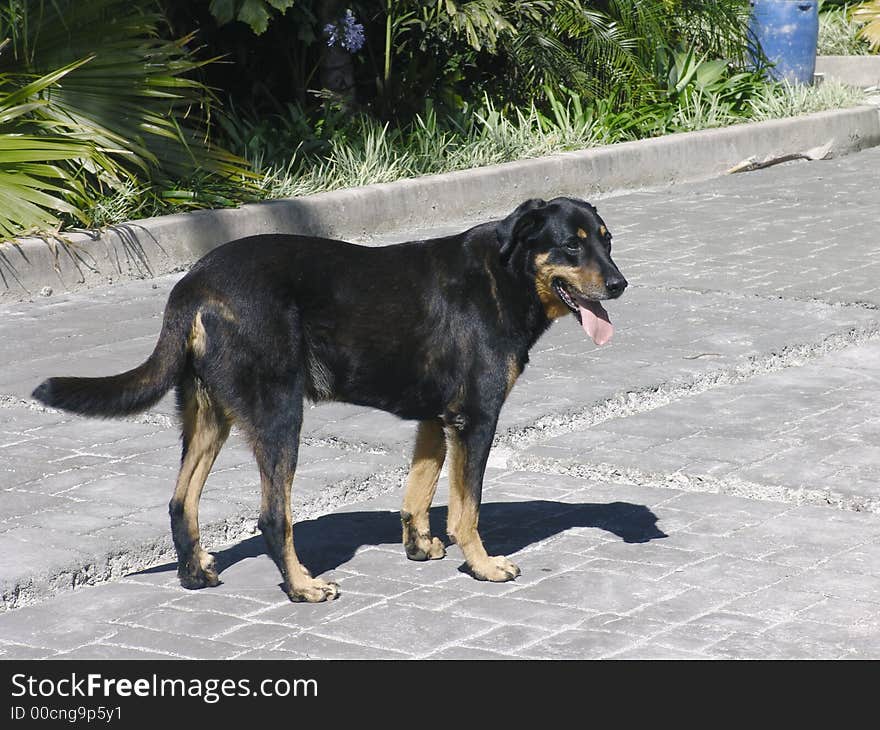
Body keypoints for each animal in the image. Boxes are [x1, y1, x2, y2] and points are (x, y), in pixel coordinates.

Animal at [32, 196, 624, 600]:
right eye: (572, 245)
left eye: (607, 240)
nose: (619, 285)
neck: (507, 273)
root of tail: (192, 286)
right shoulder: (474, 418)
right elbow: (467, 508)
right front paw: (483, 566)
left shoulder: (435, 419)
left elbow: (419, 490)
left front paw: (418, 546)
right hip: (279, 414)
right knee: (273, 517)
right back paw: (302, 587)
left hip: (209, 415)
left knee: (182, 502)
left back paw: (196, 573)